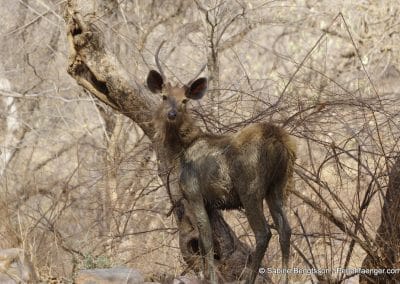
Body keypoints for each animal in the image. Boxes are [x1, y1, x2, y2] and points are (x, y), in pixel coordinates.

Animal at [148, 51, 296, 284]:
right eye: (164, 96)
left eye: (184, 100)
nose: (171, 114)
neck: (180, 152)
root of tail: (279, 141)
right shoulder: (210, 202)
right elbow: (206, 240)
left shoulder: (193, 194)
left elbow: (206, 238)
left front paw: (210, 278)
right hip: (278, 186)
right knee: (286, 229)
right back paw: (285, 279)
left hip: (250, 189)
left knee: (264, 232)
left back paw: (249, 278)